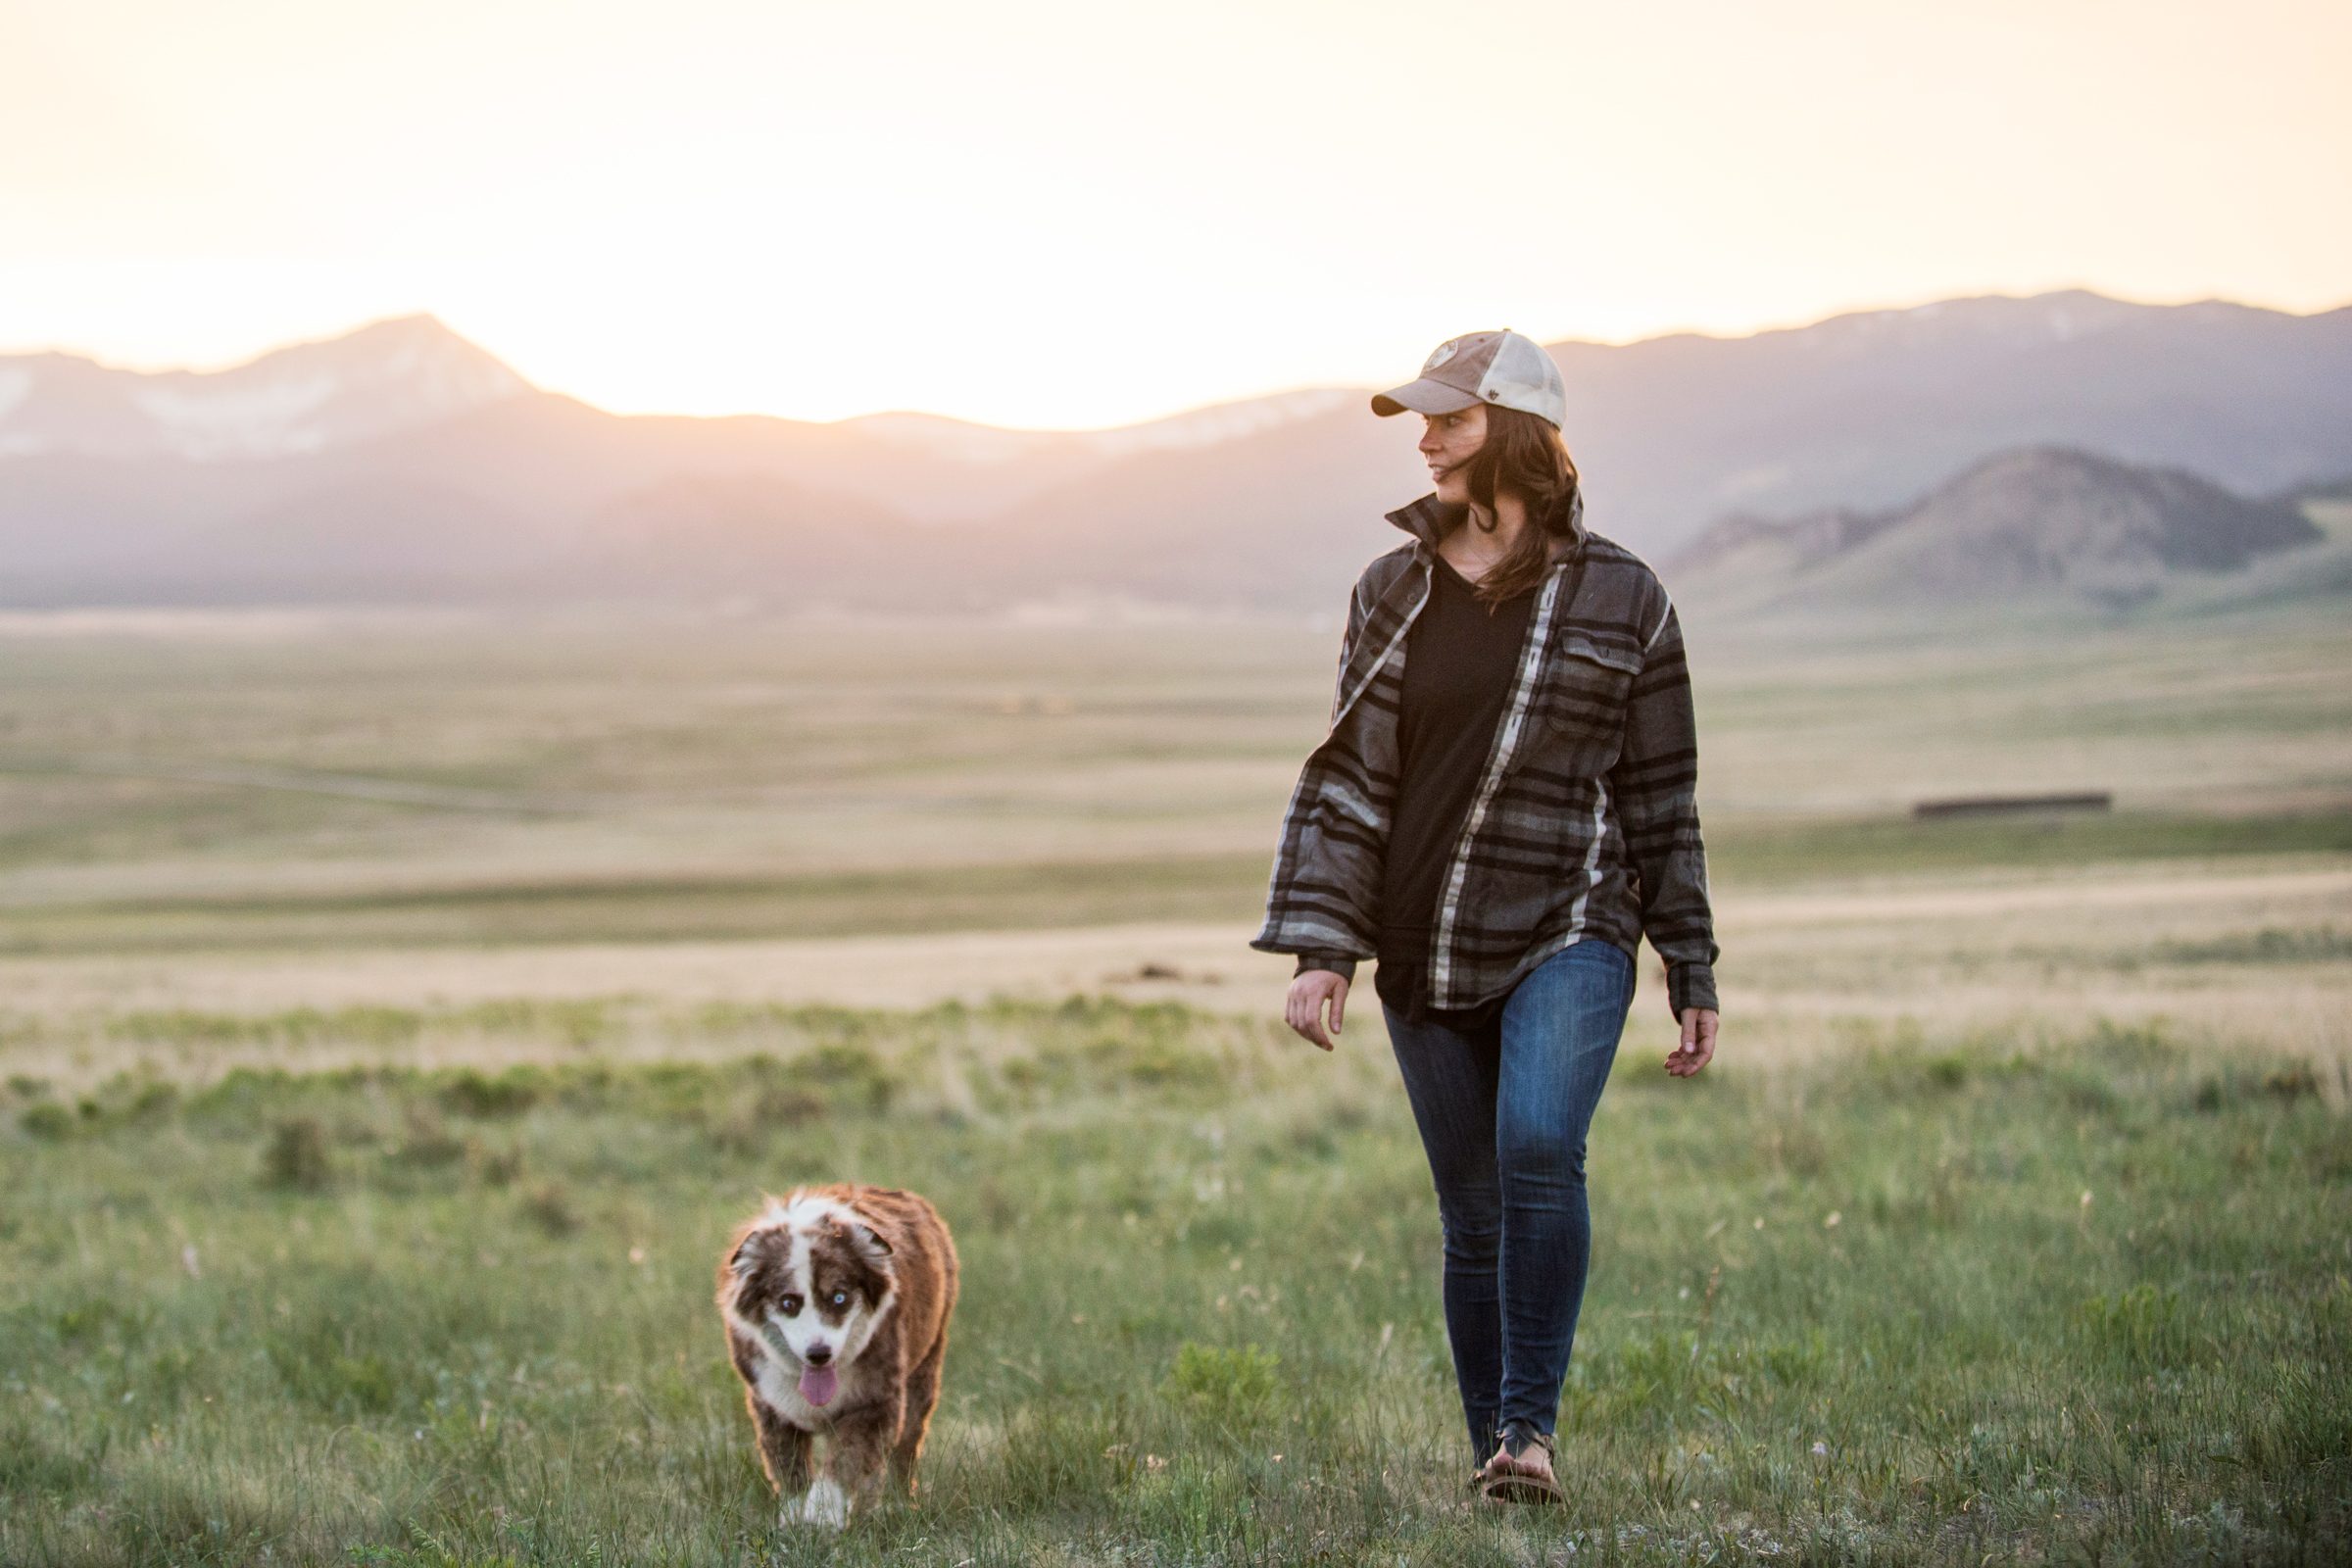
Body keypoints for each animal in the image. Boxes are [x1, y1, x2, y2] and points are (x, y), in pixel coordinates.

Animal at [710, 1184, 959, 1523]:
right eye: (788, 1302)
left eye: (840, 1297)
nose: (819, 1354)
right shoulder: (770, 1404)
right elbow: (787, 1464)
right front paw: (794, 1518)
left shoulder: (874, 1400)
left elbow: (847, 1457)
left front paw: (822, 1515)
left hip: (926, 1363)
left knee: (906, 1443)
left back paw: (895, 1504)